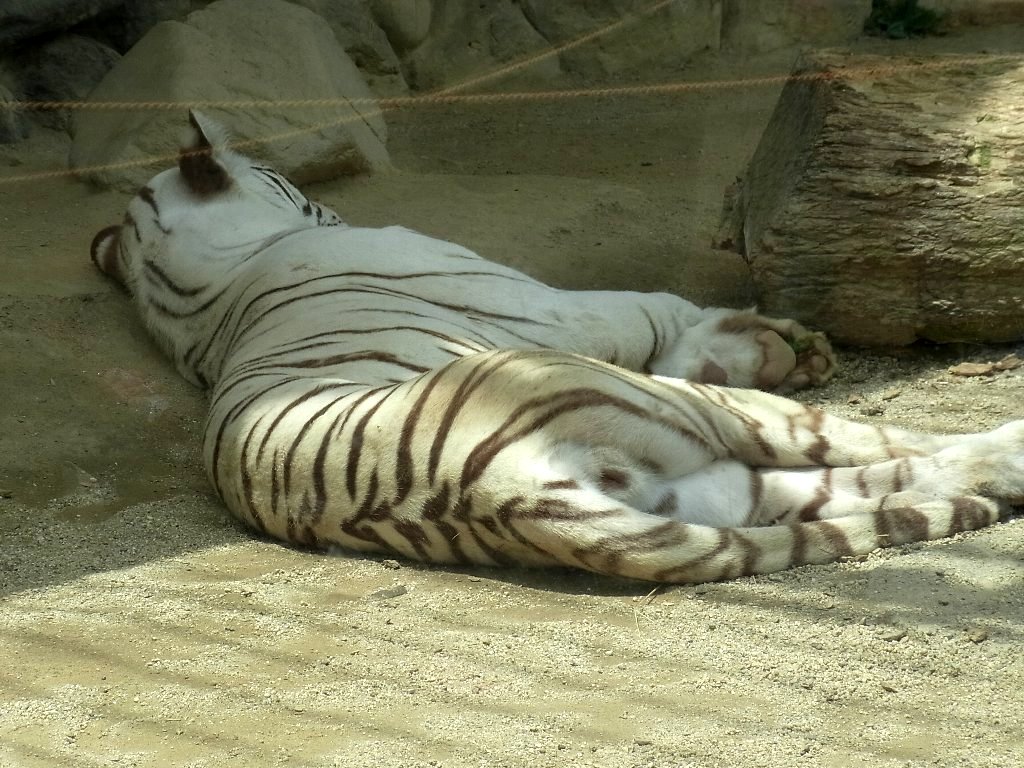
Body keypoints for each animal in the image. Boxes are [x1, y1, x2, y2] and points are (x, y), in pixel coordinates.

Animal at [90, 111, 1024, 581]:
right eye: (292, 186)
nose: (326, 203)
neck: (200, 303)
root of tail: (501, 495)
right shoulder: (555, 314)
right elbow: (656, 308)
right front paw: (779, 341)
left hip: (705, 493)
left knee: (870, 482)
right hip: (655, 405)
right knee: (883, 438)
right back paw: (1005, 447)